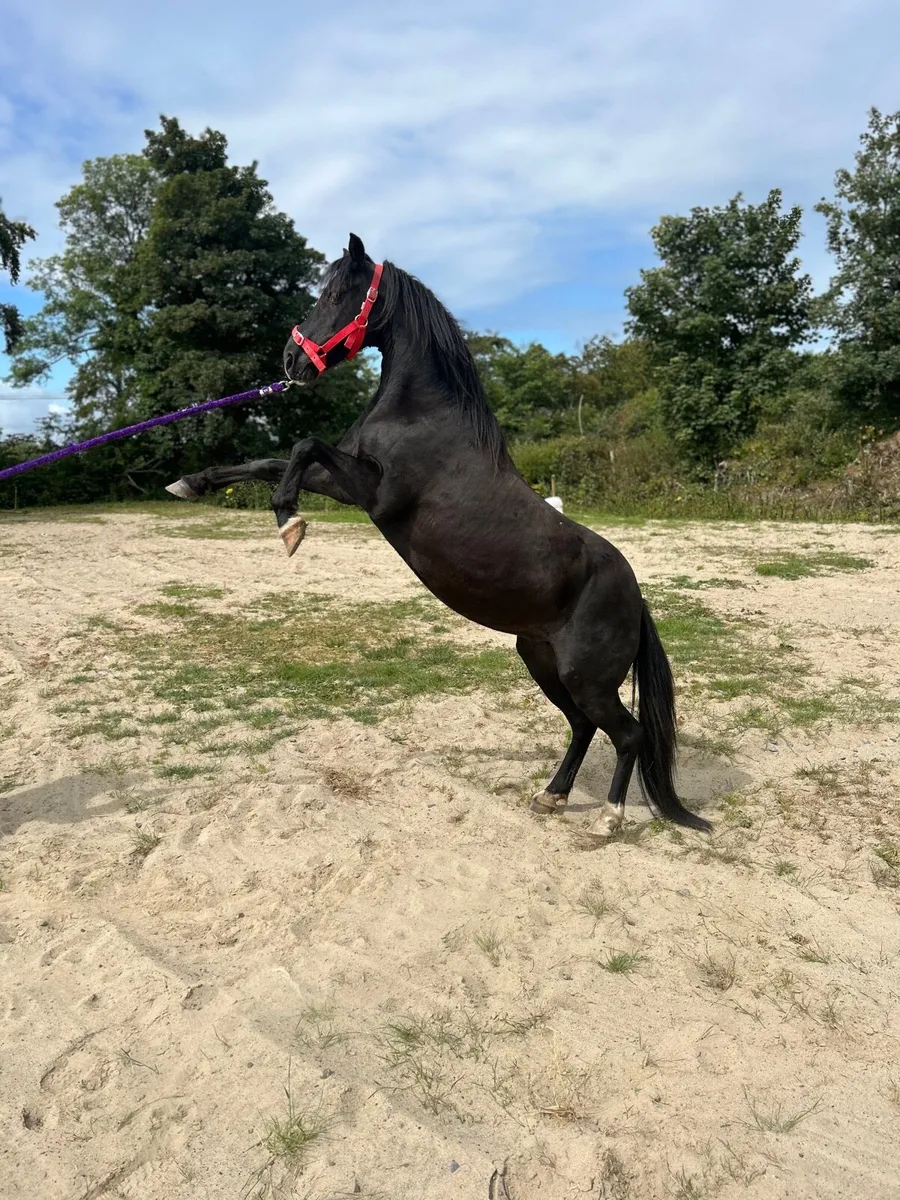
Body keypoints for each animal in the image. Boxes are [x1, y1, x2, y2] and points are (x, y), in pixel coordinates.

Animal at [166, 234, 711, 838]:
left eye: (334, 293)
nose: (290, 362)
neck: (420, 415)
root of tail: (636, 596)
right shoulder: (346, 482)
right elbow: (272, 460)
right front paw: (192, 483)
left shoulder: (374, 495)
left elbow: (303, 444)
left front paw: (290, 524)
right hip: (541, 661)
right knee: (583, 726)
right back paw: (551, 797)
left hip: (584, 677)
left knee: (627, 733)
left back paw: (608, 820)